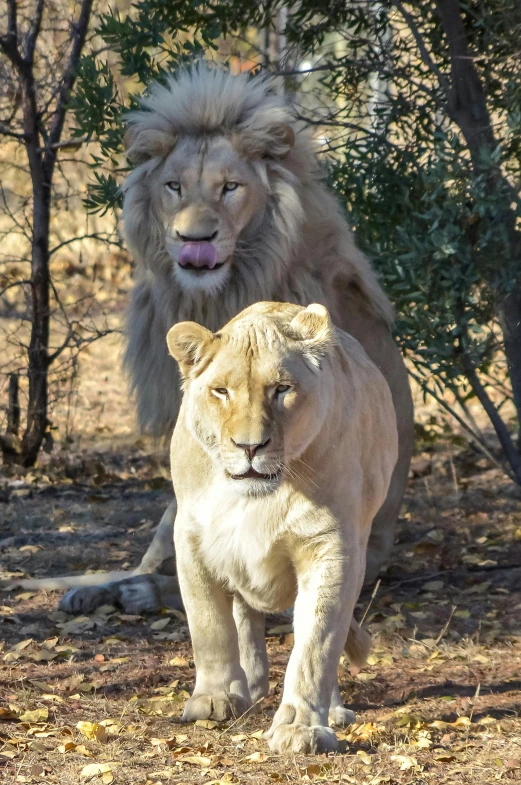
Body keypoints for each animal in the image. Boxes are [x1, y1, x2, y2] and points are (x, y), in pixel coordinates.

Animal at [8, 62, 412, 612]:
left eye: (230, 187)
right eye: (174, 186)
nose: (193, 239)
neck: (212, 294)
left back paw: (137, 593)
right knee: (163, 558)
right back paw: (97, 592)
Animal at [169, 302, 396, 752]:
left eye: (281, 389)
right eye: (221, 391)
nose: (250, 446)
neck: (257, 498)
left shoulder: (331, 547)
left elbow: (315, 644)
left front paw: (301, 728)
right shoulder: (191, 540)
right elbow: (209, 626)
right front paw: (214, 700)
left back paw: (333, 710)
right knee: (244, 617)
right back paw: (249, 690)